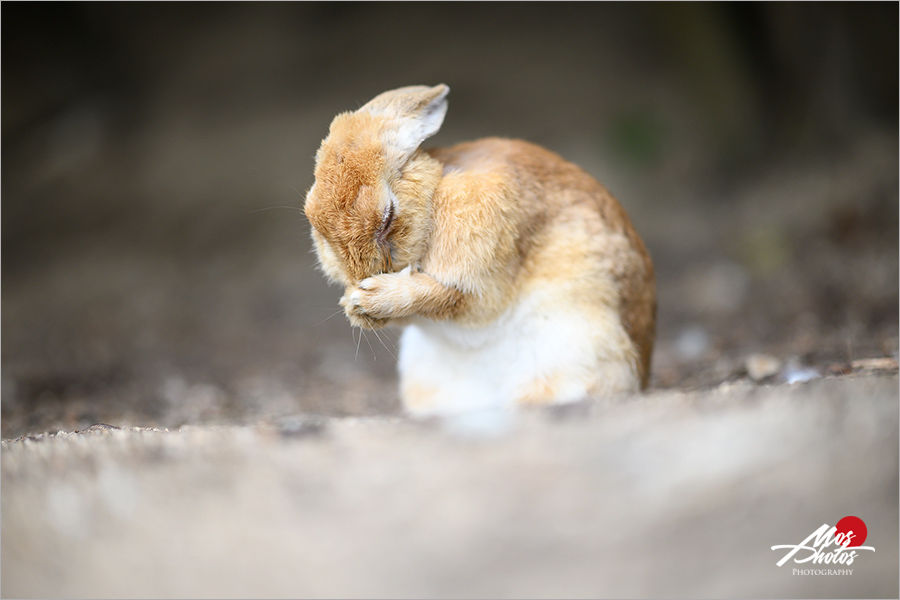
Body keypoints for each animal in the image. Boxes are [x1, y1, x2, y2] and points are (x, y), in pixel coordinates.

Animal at [302, 84, 652, 414]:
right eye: (314, 220)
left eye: (388, 216)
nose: (362, 275)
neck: (434, 193)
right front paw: (354, 305)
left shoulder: (477, 278)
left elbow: (445, 298)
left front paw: (367, 298)